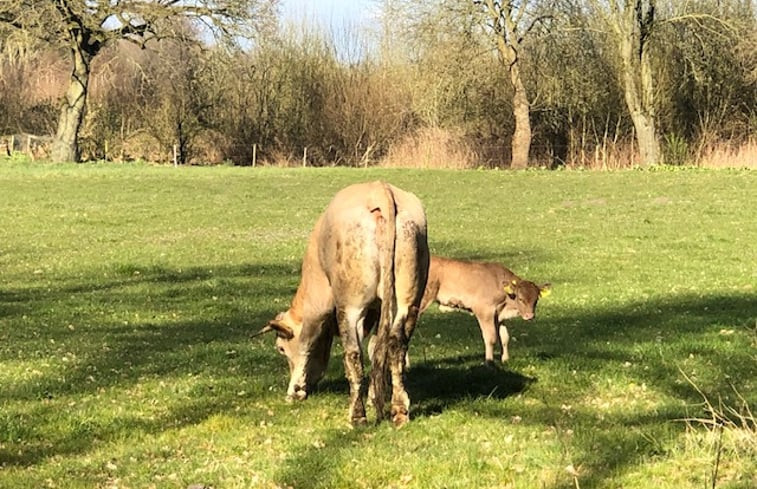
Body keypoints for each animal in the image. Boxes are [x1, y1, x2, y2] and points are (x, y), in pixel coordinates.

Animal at [256, 181, 428, 426]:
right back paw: (399, 410)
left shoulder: (322, 305)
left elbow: (310, 344)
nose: (296, 390)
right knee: (395, 345)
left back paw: (357, 415)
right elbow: (375, 348)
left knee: (353, 354)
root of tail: (379, 189)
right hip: (408, 298)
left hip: (350, 305)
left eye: (281, 348)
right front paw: (374, 397)